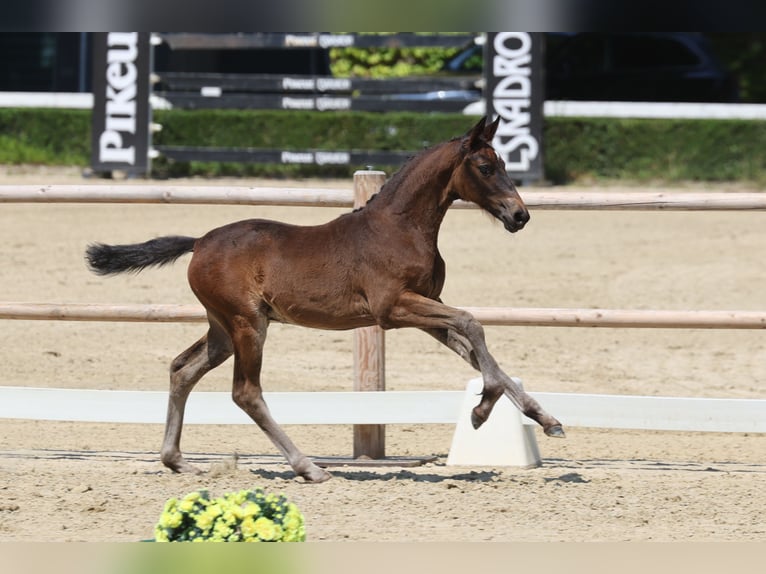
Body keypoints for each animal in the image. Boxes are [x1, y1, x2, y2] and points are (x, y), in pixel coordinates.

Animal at [85, 116, 564, 483]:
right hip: (248, 324)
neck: (400, 227)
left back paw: (176, 460)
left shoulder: (424, 307)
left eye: (504, 163)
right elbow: (471, 323)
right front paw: (483, 410)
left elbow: (475, 349)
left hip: (222, 328)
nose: (519, 215)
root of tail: (200, 242)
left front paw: (542, 418)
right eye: (485, 166)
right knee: (246, 392)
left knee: (182, 370)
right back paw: (308, 467)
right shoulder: (392, 308)